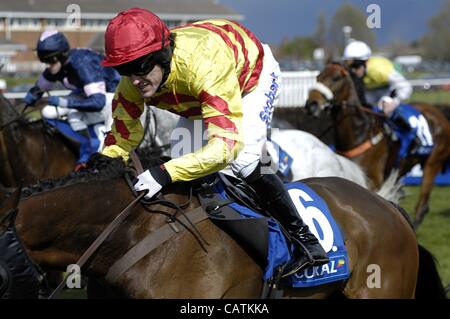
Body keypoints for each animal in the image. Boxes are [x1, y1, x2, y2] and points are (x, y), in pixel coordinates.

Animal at [304, 63, 450, 228]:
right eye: (318, 77)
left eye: (336, 77)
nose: (311, 105)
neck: (360, 133)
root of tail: (438, 113)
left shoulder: (373, 180)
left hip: (432, 163)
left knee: (422, 205)